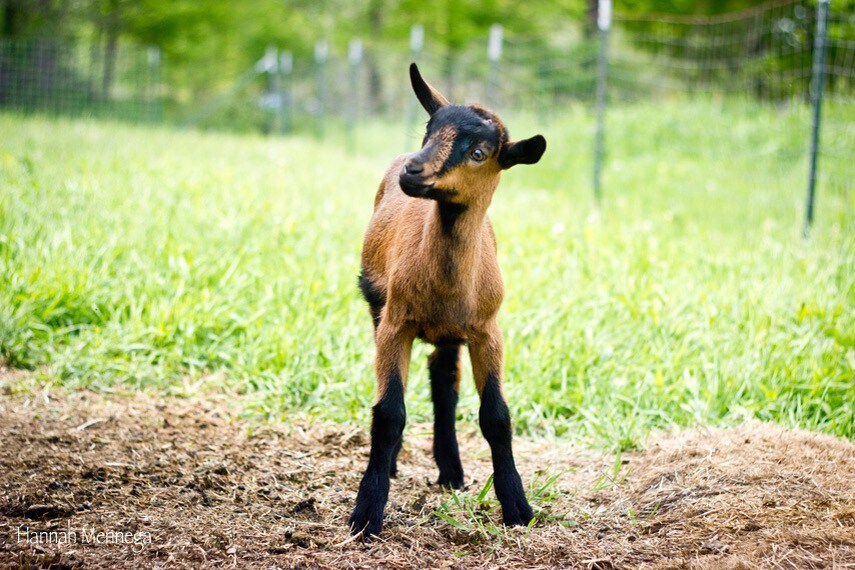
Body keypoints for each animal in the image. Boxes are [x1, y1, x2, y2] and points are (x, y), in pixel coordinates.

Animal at [350, 63, 544, 536]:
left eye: (479, 152)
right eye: (430, 130)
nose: (413, 169)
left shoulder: (488, 331)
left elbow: (496, 417)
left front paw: (518, 508)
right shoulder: (395, 324)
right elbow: (389, 413)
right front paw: (367, 513)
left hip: (452, 334)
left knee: (445, 383)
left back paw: (451, 472)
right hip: (377, 305)